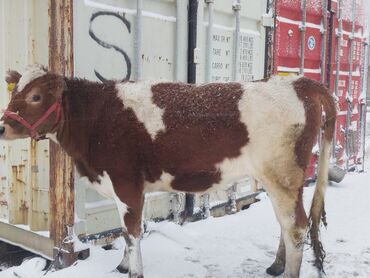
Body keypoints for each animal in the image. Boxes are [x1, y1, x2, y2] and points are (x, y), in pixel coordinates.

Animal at [0, 65, 336, 278]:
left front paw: (134, 271)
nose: (2, 126)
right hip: (282, 179)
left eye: (35, 96)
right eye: (14, 92)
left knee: (295, 227)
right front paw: (123, 265)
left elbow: (132, 232)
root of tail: (298, 83)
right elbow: (127, 231)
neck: (96, 118)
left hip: (282, 175)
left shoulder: (126, 182)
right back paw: (276, 266)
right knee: (286, 223)